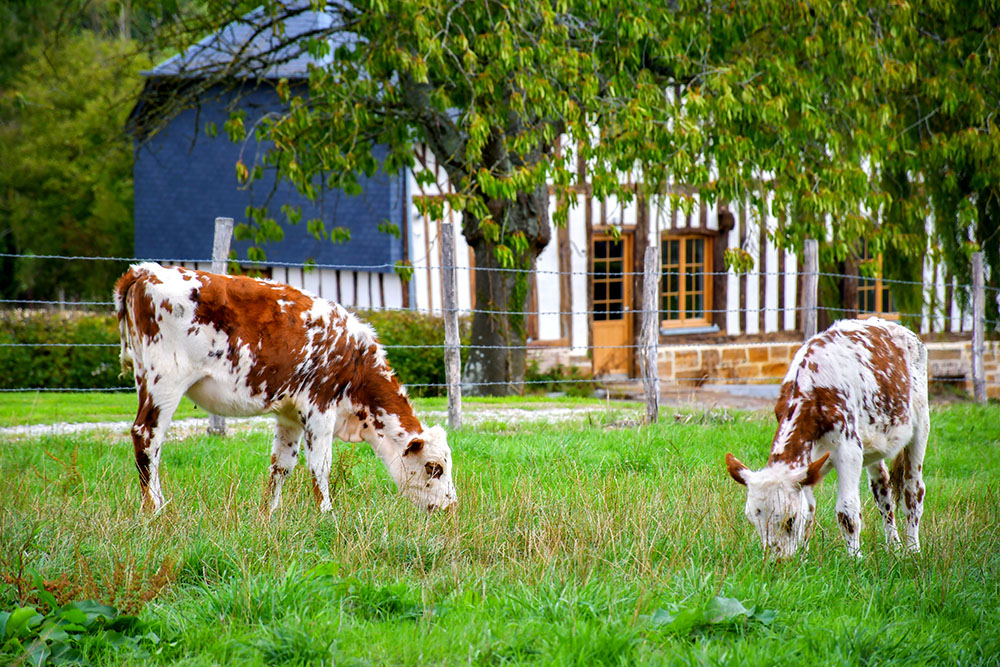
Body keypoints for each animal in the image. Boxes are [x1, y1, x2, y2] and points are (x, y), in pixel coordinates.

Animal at [113, 262, 457, 515]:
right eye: (434, 467)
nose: (451, 507)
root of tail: (146, 270)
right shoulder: (320, 408)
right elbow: (320, 465)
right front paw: (326, 513)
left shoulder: (289, 415)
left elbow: (281, 465)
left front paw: (269, 513)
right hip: (165, 383)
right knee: (147, 436)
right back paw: (155, 507)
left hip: (148, 378)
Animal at [725, 318, 928, 558]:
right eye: (753, 521)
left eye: (790, 520)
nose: (778, 561)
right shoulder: (810, 463)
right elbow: (809, 507)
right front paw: (803, 555)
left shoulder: (849, 451)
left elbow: (847, 512)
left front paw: (855, 558)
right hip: (874, 443)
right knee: (883, 490)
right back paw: (893, 546)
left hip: (921, 425)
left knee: (913, 491)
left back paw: (913, 549)